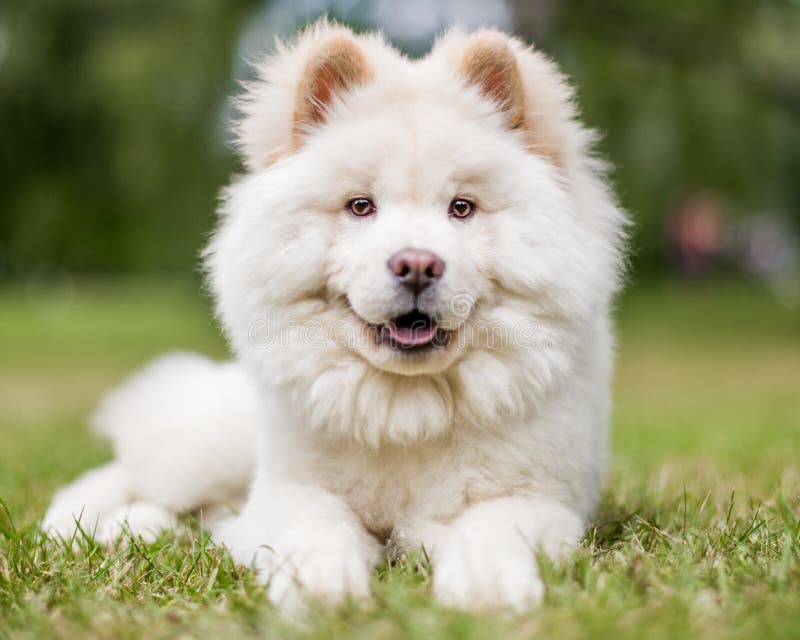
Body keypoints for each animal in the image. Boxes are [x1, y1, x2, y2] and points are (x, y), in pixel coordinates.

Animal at [43, 20, 628, 608]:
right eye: (360, 206)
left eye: (461, 208)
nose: (417, 265)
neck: (406, 411)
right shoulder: (292, 490)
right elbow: (317, 528)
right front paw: (321, 590)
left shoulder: (537, 498)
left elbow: (488, 529)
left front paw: (486, 592)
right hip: (207, 448)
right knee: (134, 475)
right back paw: (84, 524)